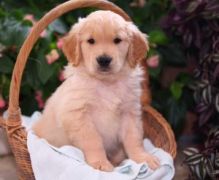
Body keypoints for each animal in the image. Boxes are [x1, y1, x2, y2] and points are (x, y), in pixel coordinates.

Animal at [32, 10, 159, 172]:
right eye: (91, 41)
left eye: (117, 40)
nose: (104, 60)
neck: (106, 83)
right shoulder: (78, 115)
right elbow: (93, 141)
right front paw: (100, 162)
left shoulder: (130, 112)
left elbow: (134, 139)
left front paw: (142, 158)